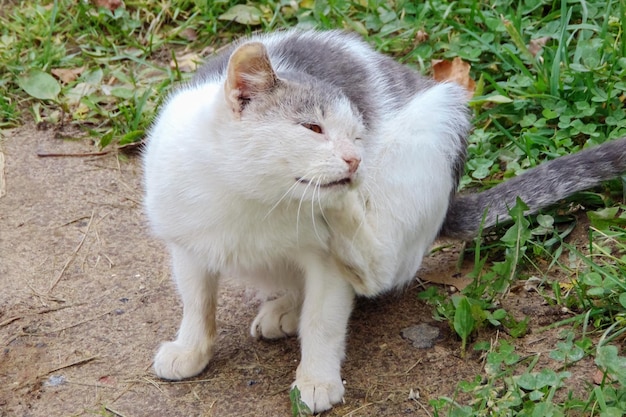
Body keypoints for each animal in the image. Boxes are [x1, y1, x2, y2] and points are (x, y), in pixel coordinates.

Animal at [143, 30, 624, 412]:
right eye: (313, 128)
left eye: (357, 136)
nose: (355, 160)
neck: (252, 200)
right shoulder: (186, 244)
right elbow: (197, 303)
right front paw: (191, 349)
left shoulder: (326, 266)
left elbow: (324, 320)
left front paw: (316, 378)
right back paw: (286, 304)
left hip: (432, 131)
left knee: (379, 268)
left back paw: (345, 218)